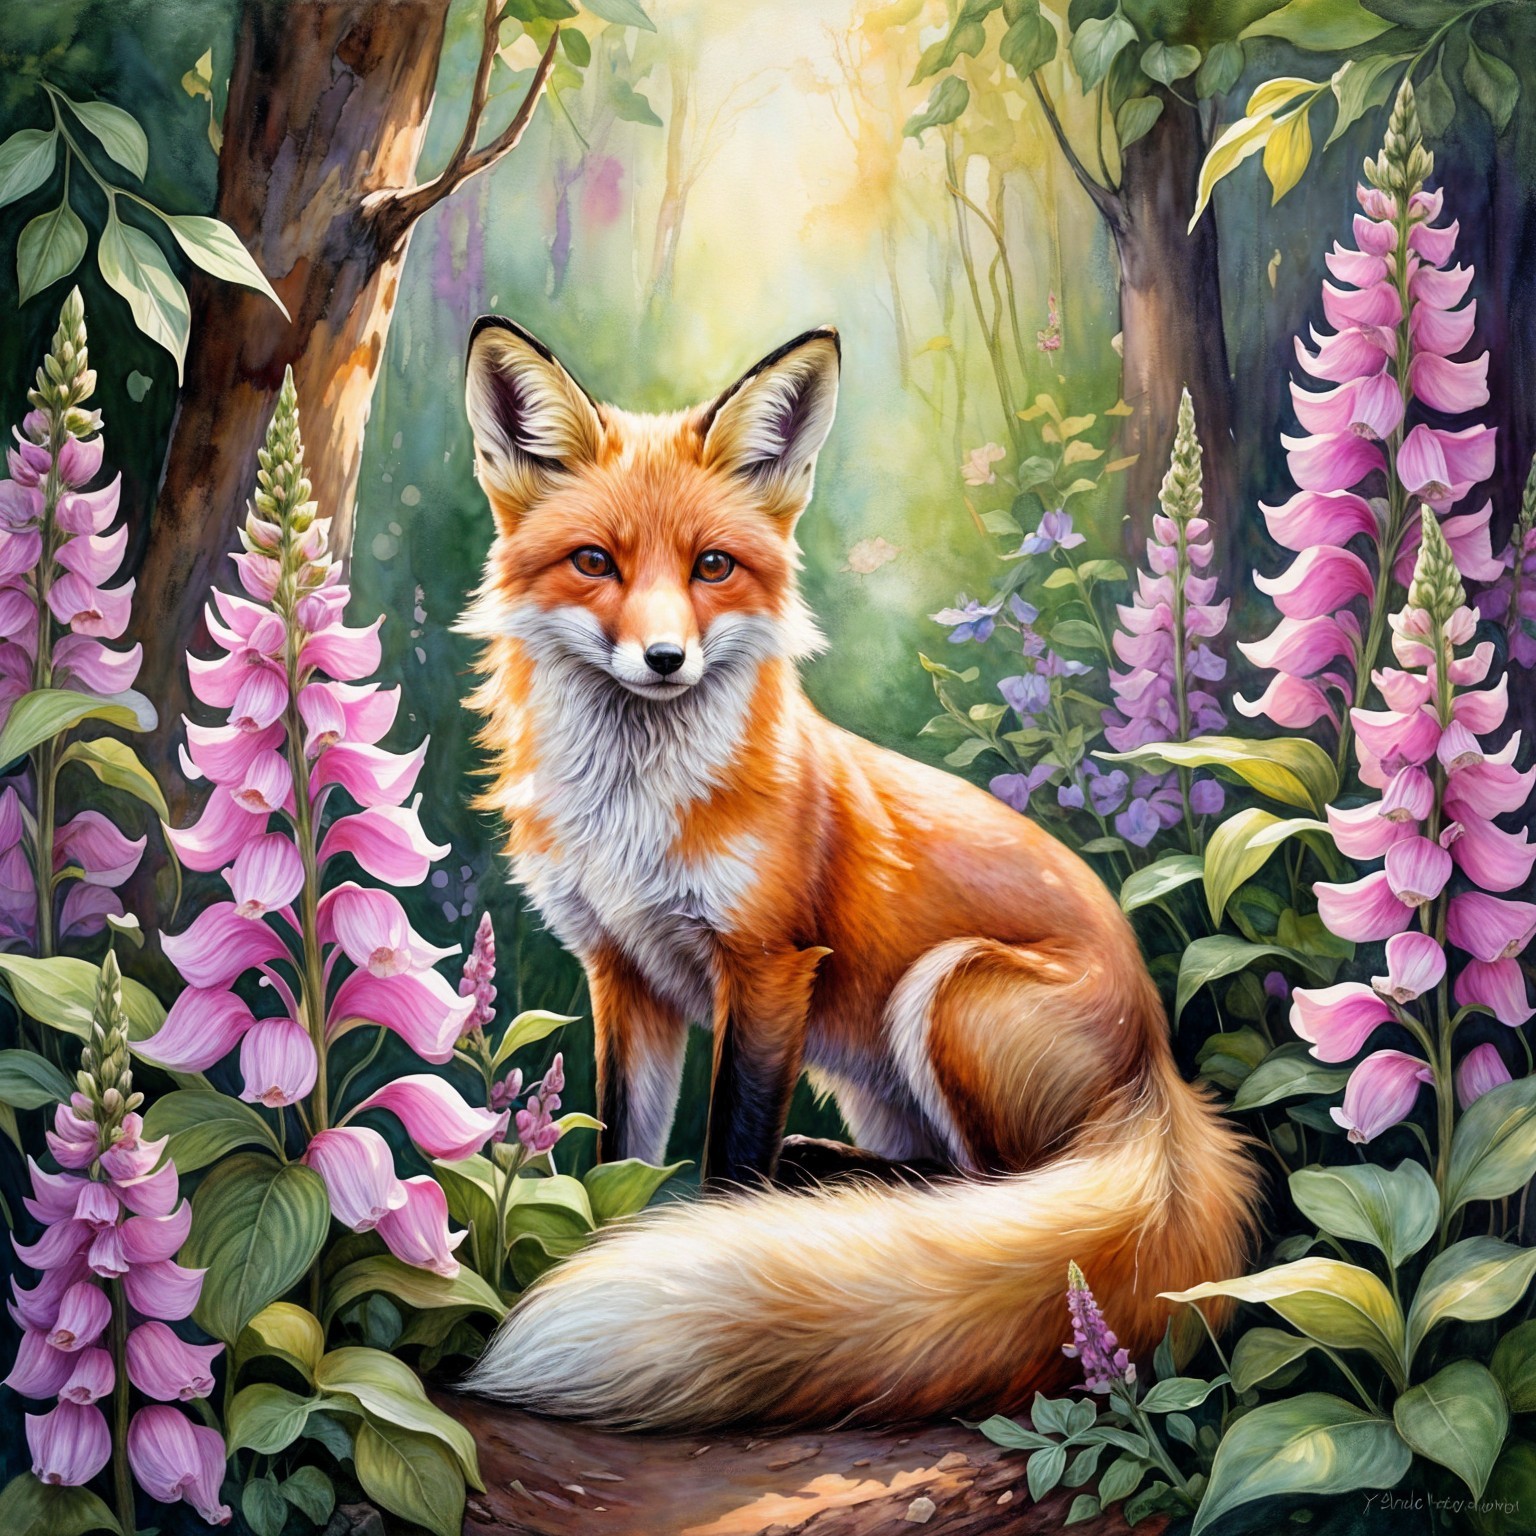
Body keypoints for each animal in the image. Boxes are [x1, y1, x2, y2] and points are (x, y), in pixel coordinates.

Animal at [455, 316, 1258, 1431]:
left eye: (712, 565)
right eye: (593, 562)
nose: (664, 659)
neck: (633, 818)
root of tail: (1162, 1077)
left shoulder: (768, 965)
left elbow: (728, 1154)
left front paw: (716, 1247)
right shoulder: (623, 973)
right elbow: (618, 1153)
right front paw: (612, 1235)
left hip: (948, 990)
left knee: (997, 1191)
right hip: (875, 1067)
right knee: (954, 1177)